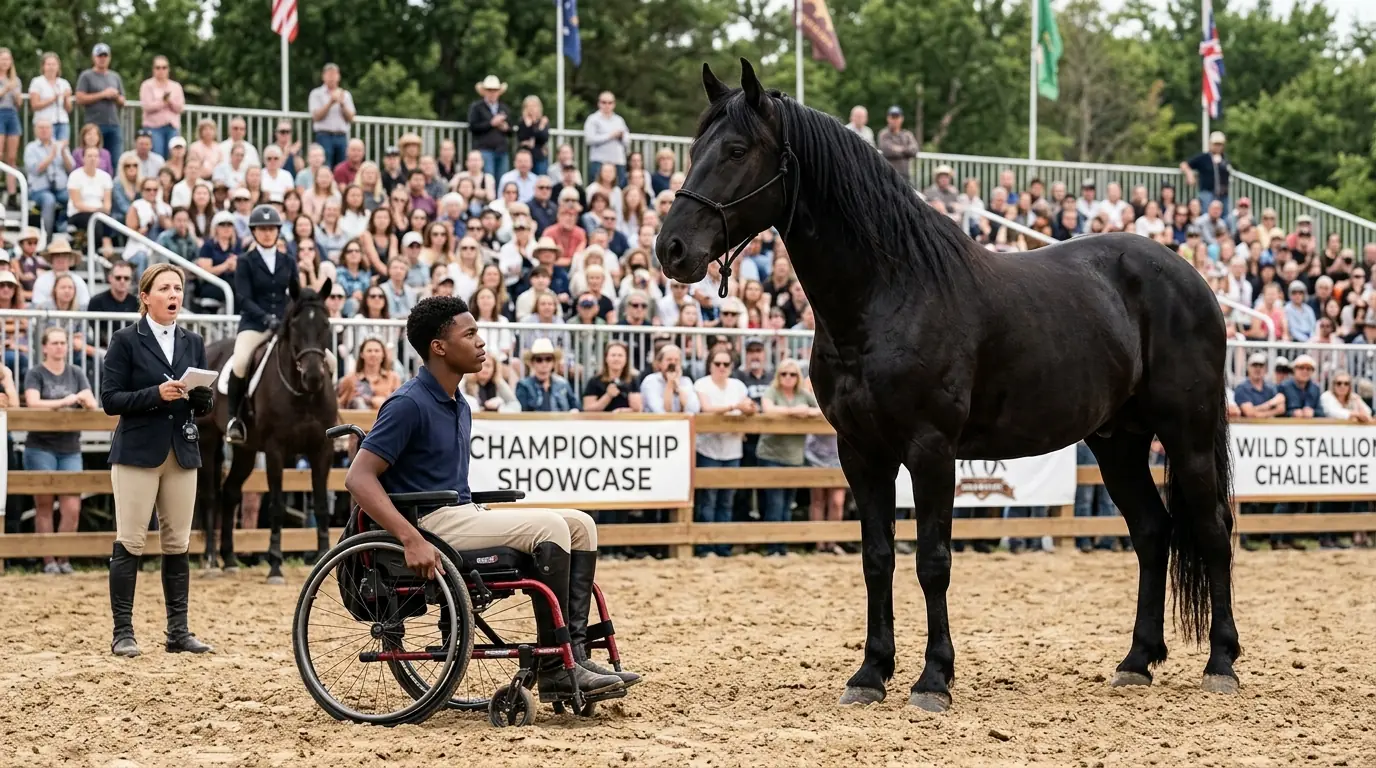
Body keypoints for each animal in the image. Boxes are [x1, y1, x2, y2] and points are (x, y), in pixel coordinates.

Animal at [196, 277, 340, 584]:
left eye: (326, 325)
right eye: (295, 326)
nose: (313, 377)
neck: (303, 394)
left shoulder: (322, 449)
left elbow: (322, 505)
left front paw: (324, 557)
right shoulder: (276, 451)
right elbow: (275, 507)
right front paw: (275, 566)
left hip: (246, 451)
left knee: (230, 493)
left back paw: (230, 560)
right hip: (208, 440)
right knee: (210, 496)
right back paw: (212, 560)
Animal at [655, 59, 1238, 712]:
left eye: (735, 150)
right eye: (694, 148)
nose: (671, 248)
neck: (887, 293)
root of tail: (1191, 277)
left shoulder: (931, 449)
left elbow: (933, 561)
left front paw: (933, 678)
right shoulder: (861, 453)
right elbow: (877, 558)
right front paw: (870, 673)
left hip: (1186, 434)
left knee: (1212, 529)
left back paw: (1221, 663)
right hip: (1118, 442)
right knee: (1152, 532)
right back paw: (1137, 661)